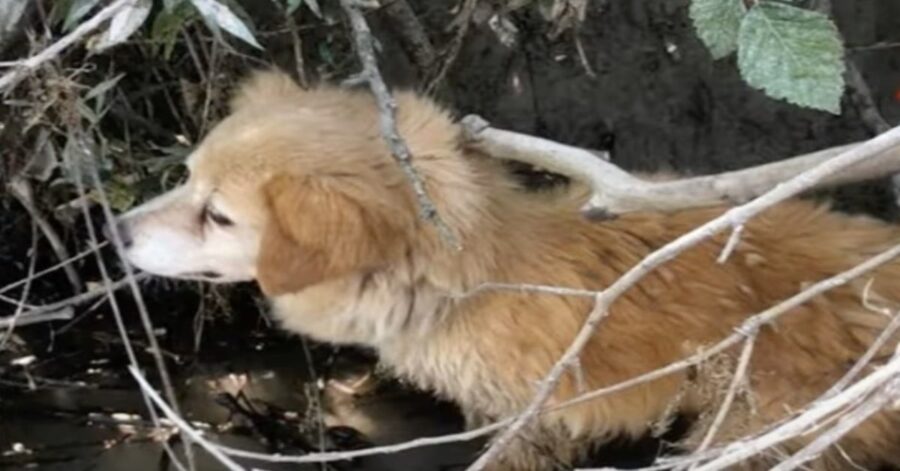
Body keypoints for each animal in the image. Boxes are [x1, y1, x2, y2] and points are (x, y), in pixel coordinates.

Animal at [112, 71, 900, 471]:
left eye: (217, 216)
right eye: (185, 175)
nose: (114, 228)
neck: (473, 278)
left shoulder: (538, 418)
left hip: (754, 428)